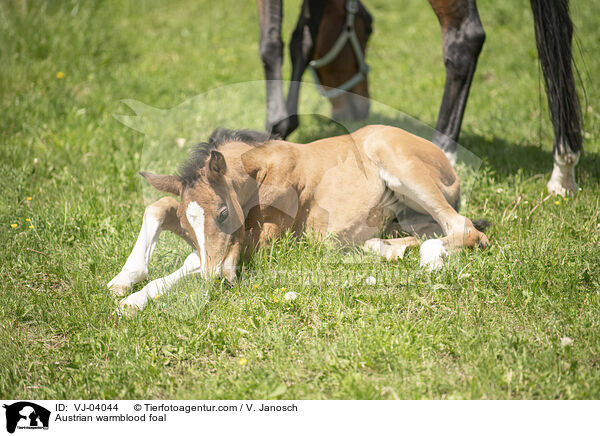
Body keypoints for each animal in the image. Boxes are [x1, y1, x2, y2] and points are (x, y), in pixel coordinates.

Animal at [109, 125, 488, 310]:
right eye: (188, 230)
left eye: (223, 212)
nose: (215, 282)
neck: (261, 169)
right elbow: (159, 207)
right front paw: (125, 284)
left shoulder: (263, 240)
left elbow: (199, 261)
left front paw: (136, 298)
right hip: (408, 216)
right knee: (428, 231)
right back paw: (392, 250)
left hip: (398, 163)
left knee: (464, 229)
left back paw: (431, 262)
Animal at [258, 0, 580, 194]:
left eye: (368, 27)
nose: (360, 106)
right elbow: (303, 40)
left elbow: (271, 41)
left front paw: (277, 126)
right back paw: (563, 169)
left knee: (464, 37)